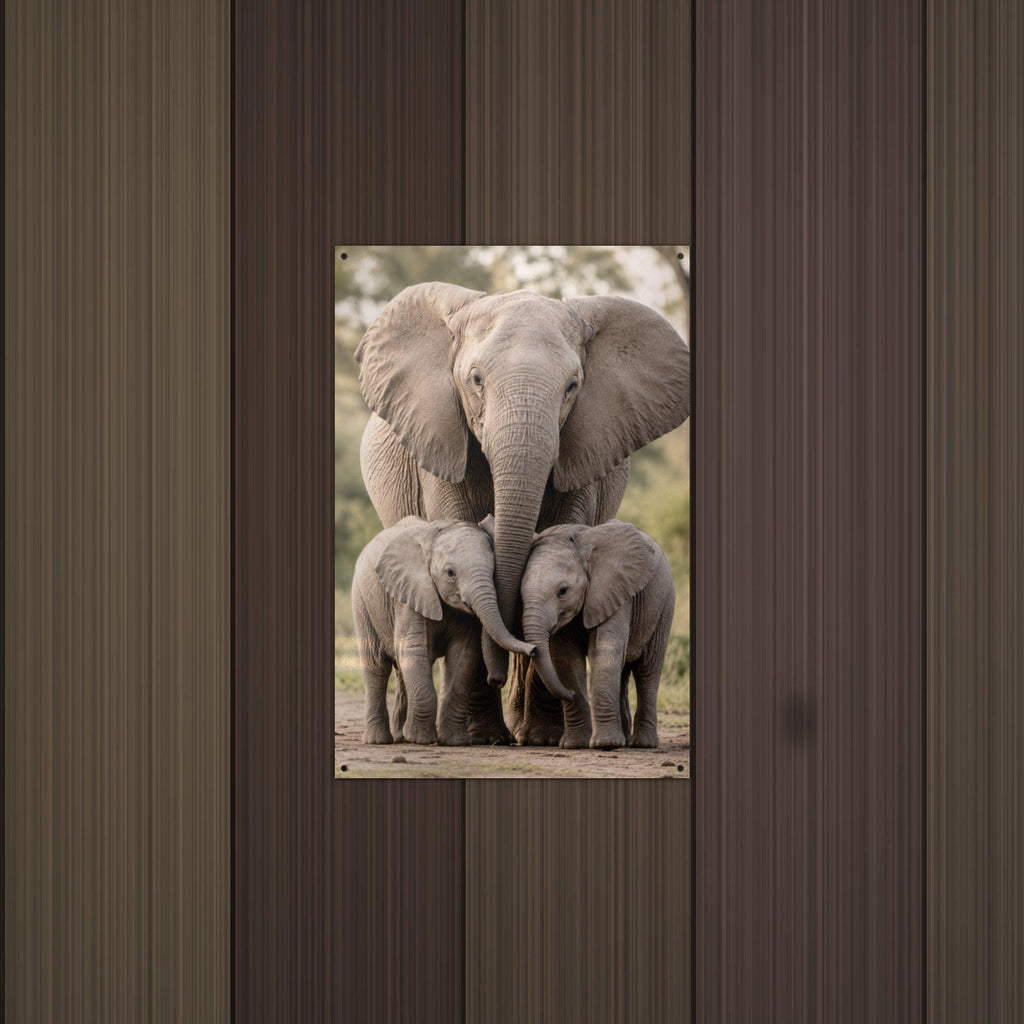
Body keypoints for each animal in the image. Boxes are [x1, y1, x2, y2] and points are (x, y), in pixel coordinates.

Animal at [351, 517, 536, 746]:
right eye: (450, 573)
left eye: (493, 572)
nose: (533, 649)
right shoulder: (410, 595)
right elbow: (413, 649)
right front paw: (421, 740)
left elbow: (463, 656)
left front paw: (455, 741)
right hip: (362, 602)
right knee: (376, 665)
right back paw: (379, 740)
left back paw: (401, 736)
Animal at [519, 521, 675, 749]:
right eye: (520, 594)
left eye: (563, 591)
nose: (571, 694)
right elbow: (566, 660)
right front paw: (575, 745)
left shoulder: (615, 591)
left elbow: (604, 652)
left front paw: (606, 744)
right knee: (624, 671)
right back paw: (625, 739)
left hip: (664, 604)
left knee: (647, 670)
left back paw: (642, 743)